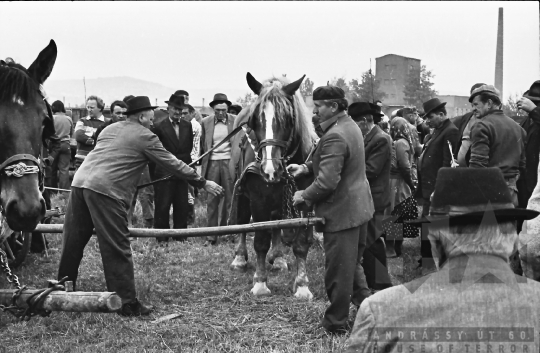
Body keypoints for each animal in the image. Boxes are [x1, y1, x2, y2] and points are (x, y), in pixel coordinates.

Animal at [227, 73, 316, 298]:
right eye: (255, 119)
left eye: (289, 118)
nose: (270, 169)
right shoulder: (258, 198)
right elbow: (260, 240)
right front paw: (260, 283)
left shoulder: (304, 198)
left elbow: (301, 243)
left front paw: (302, 285)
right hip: (243, 192)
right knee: (243, 221)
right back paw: (240, 258)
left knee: (277, 222)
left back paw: (278, 258)